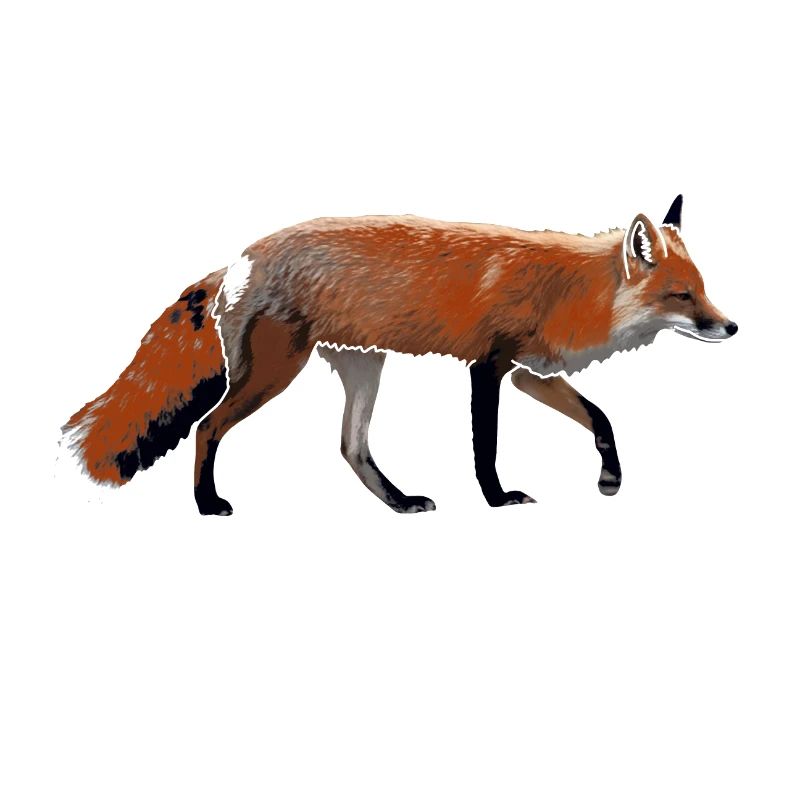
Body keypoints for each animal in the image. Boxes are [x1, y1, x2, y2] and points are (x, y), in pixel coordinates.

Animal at [62, 195, 737, 515]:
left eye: (704, 288)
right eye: (682, 295)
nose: (731, 326)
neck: (572, 291)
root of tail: (241, 257)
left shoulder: (531, 375)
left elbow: (602, 419)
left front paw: (610, 478)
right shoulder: (489, 368)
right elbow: (486, 449)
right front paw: (496, 499)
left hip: (364, 366)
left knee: (351, 448)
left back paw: (400, 502)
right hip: (275, 373)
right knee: (207, 429)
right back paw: (207, 505)